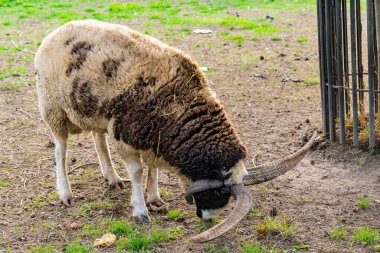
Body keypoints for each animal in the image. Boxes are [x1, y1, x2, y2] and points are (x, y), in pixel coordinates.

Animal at [35, 20, 318, 243]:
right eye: (219, 192)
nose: (207, 219)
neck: (181, 105)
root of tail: (58, 30)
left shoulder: (153, 139)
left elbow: (153, 169)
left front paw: (155, 199)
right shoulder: (125, 136)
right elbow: (137, 172)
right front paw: (140, 211)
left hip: (94, 112)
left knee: (97, 139)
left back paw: (112, 178)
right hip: (53, 108)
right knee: (60, 149)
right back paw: (66, 193)